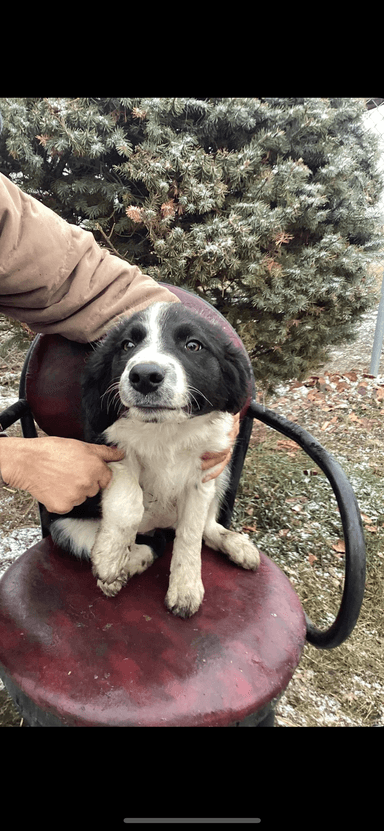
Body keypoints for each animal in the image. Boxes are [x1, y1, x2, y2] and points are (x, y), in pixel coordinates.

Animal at [51, 302, 260, 616]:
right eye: (127, 345)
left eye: (193, 345)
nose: (145, 376)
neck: (165, 429)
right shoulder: (110, 444)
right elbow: (127, 503)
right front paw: (111, 557)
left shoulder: (205, 470)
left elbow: (191, 532)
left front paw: (185, 587)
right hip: (62, 525)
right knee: (146, 543)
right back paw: (124, 565)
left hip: (222, 475)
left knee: (202, 527)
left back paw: (234, 543)